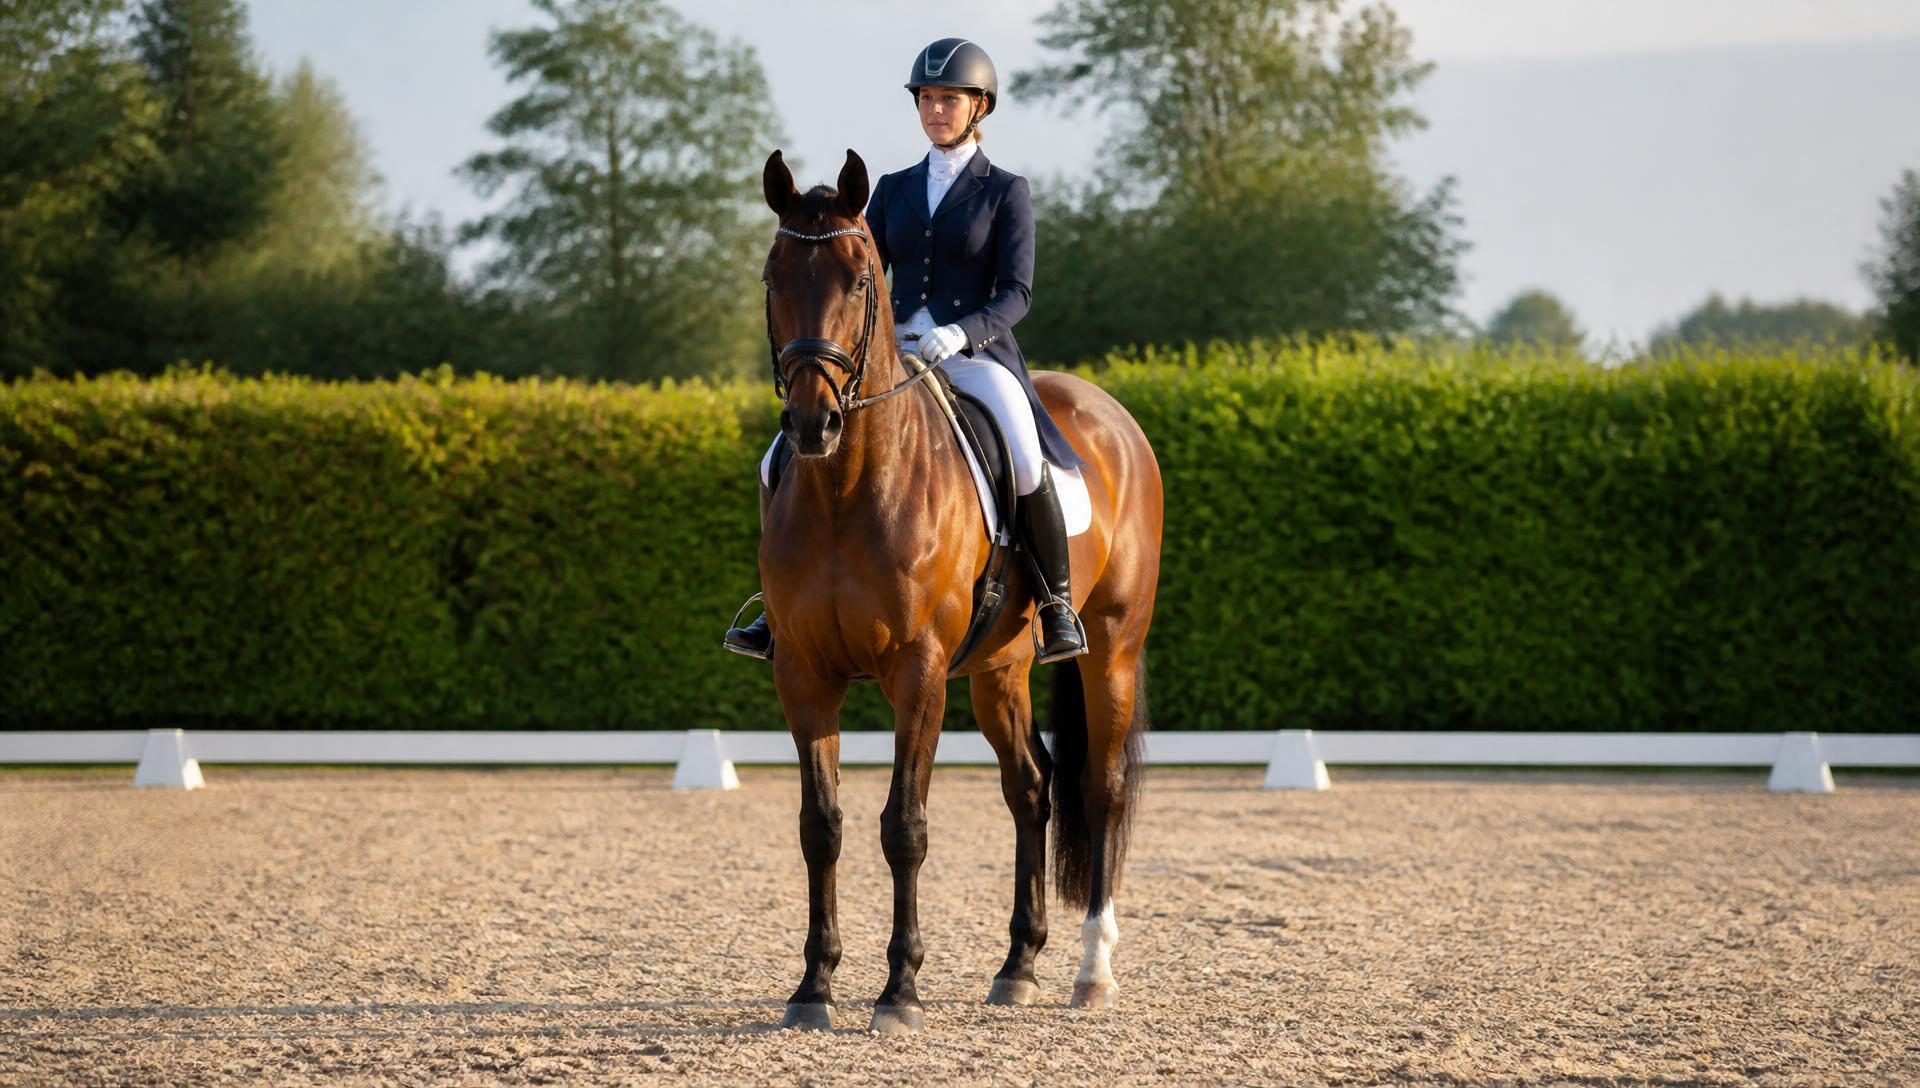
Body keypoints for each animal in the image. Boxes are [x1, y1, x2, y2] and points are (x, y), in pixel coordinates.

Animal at [756, 148, 1163, 1035]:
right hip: (998, 670)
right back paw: (1019, 966)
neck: (845, 487)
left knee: (1101, 789)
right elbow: (820, 826)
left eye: (860, 278)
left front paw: (899, 990)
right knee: (1032, 789)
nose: (812, 424)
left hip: (1112, 648)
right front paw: (813, 987)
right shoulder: (803, 672)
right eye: (773, 276)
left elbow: (904, 826)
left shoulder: (919, 671)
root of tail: (1107, 411)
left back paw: (1093, 971)